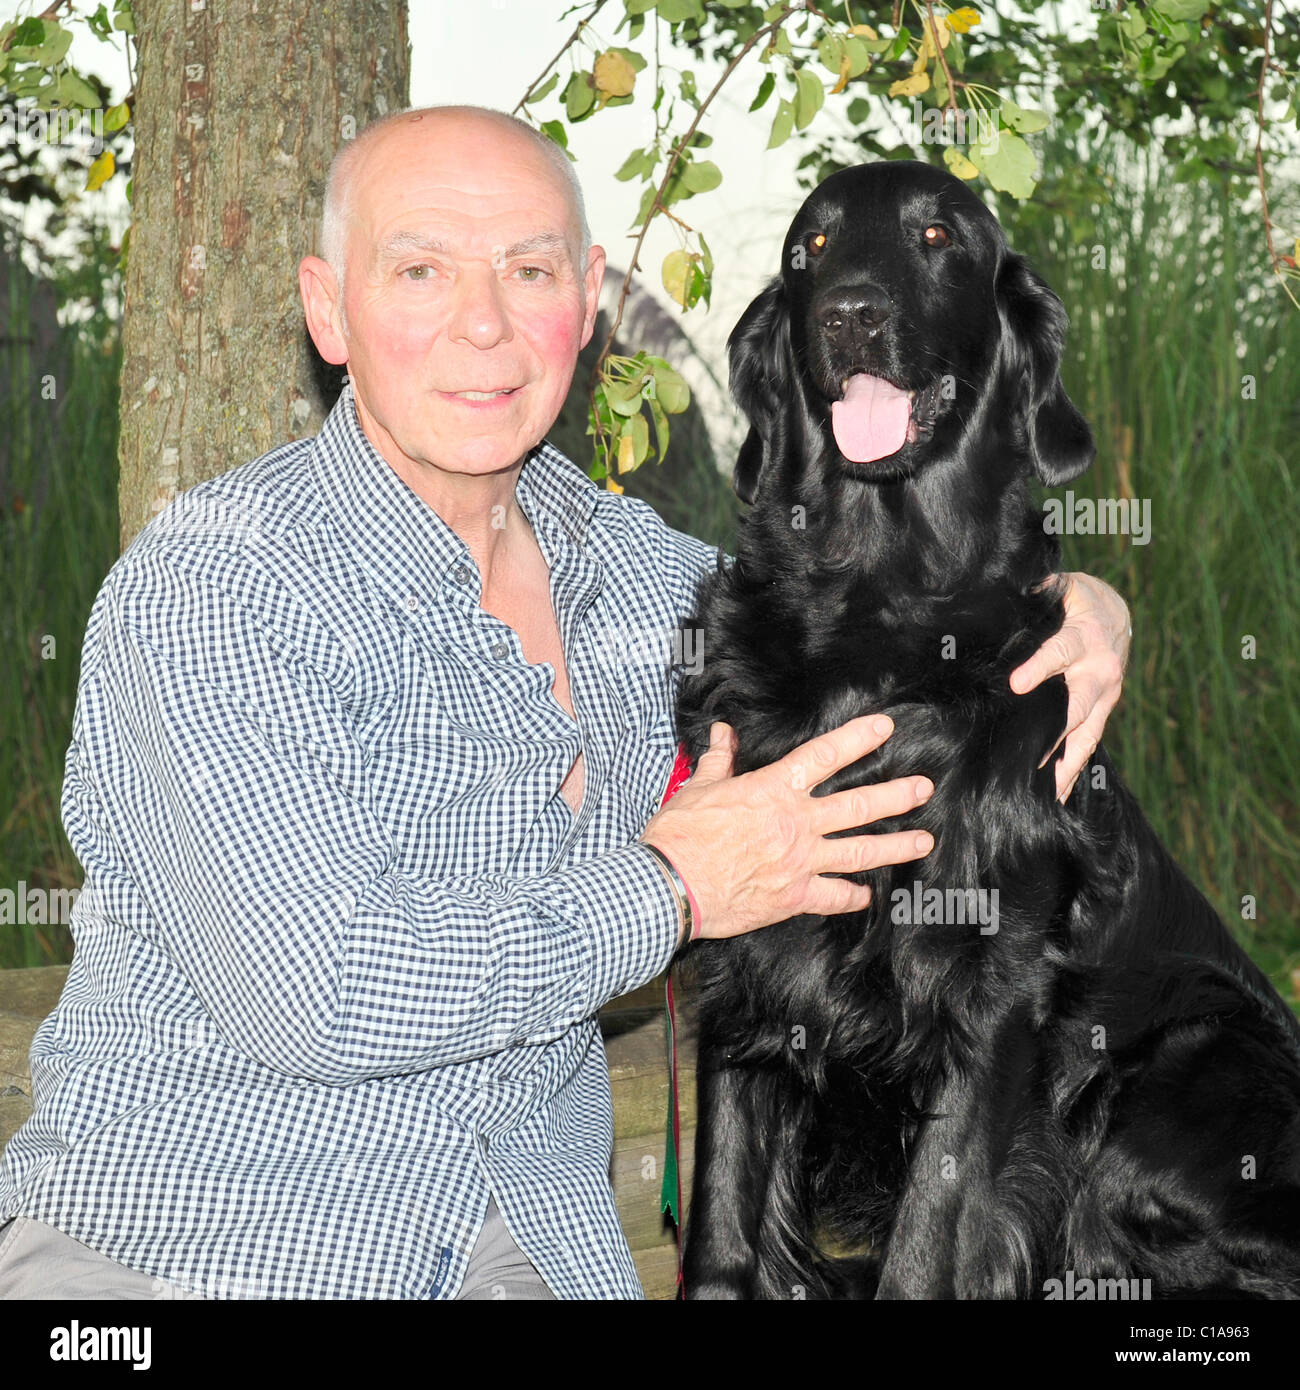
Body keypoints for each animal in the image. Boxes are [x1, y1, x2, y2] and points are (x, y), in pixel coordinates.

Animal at [675, 162, 1300, 1301]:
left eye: (937, 238)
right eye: (808, 250)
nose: (849, 314)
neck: (876, 617)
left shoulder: (994, 987)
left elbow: (930, 1235)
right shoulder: (751, 951)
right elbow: (723, 1230)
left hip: (1178, 1067)